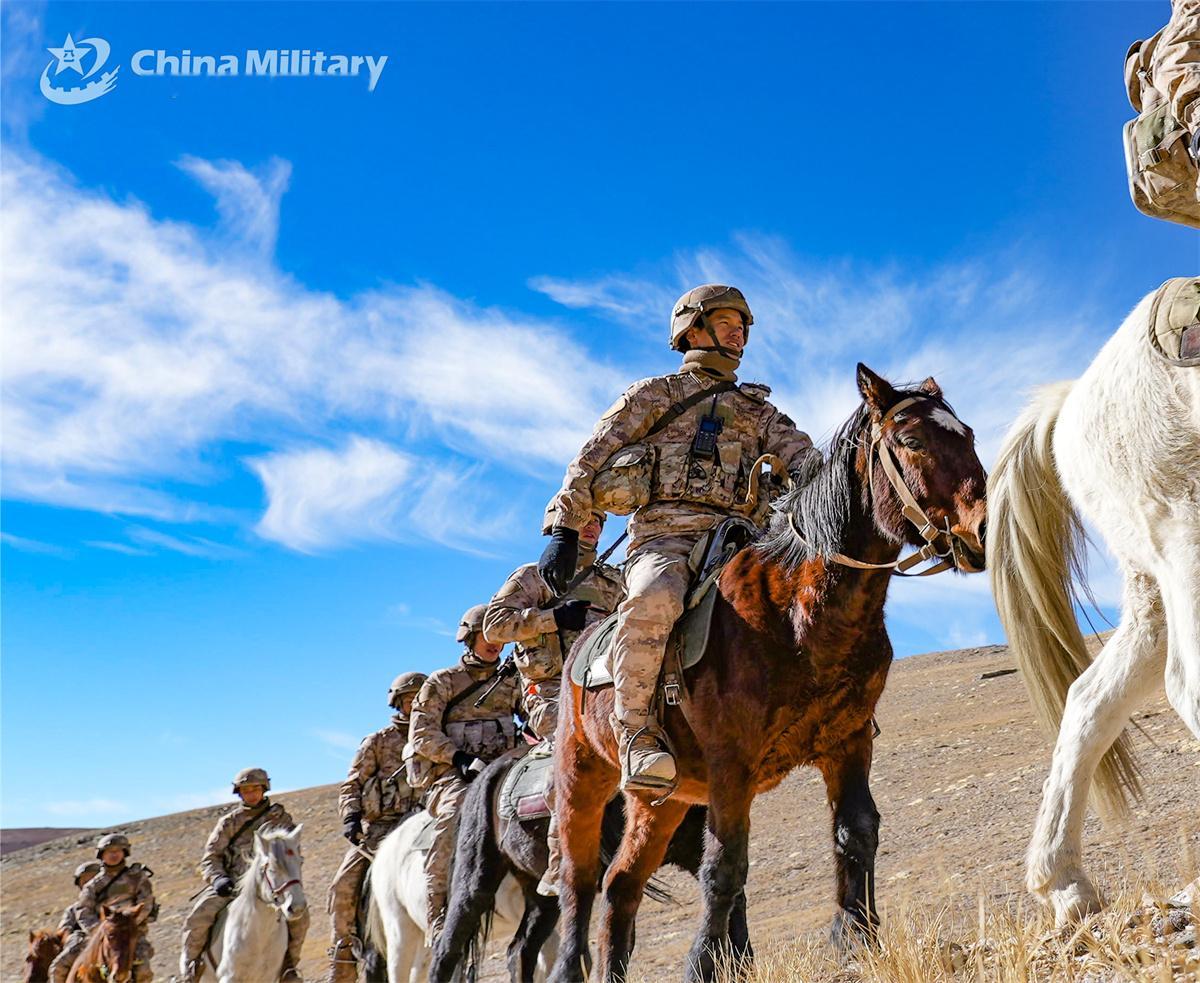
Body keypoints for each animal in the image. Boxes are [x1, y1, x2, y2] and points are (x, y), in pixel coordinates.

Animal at [198, 825, 307, 979]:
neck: (259, 935)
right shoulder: (228, 976)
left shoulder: (269, 977)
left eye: (300, 862)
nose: (297, 907)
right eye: (271, 868)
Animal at [549, 364, 988, 979]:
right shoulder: (732, 766)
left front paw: (856, 938)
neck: (799, 614)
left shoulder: (848, 743)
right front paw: (705, 964)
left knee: (621, 886)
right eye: (912, 440)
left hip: (663, 800)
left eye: (967, 435)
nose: (981, 530)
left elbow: (856, 833)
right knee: (579, 883)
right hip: (581, 782)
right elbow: (725, 866)